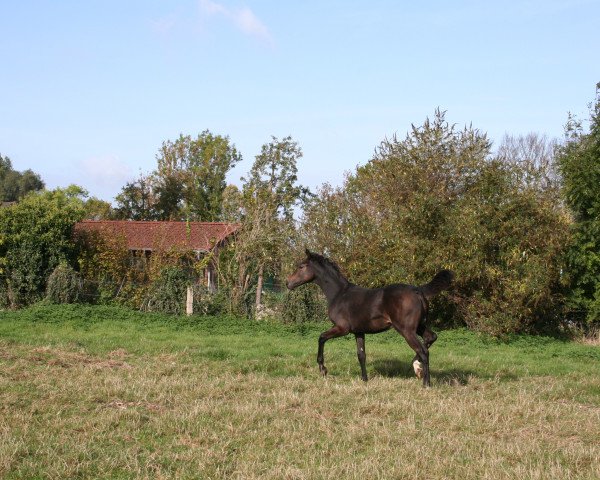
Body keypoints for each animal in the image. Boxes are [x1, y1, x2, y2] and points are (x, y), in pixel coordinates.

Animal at [284, 249, 452, 388]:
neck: (339, 294)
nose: (288, 282)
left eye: (301, 266)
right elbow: (361, 355)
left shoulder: (342, 328)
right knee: (431, 338)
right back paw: (417, 368)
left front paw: (323, 369)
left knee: (423, 351)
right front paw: (364, 379)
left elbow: (321, 337)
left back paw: (426, 382)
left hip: (406, 330)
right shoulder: (359, 331)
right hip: (419, 326)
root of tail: (418, 290)